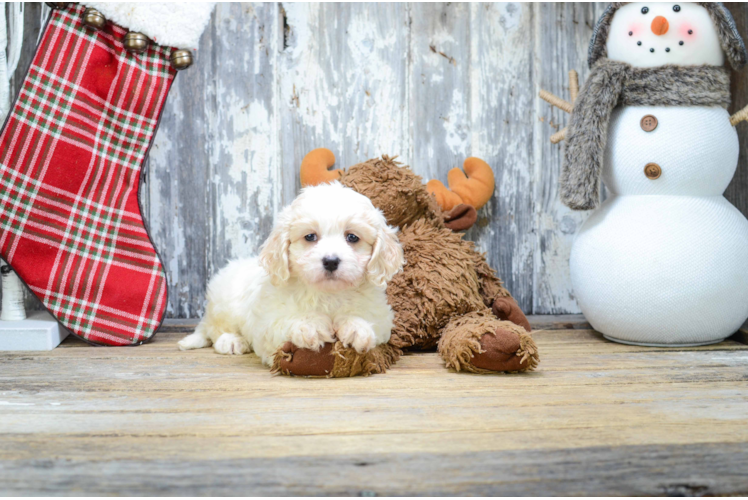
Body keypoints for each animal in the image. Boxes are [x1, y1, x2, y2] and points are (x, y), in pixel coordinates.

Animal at [178, 182, 404, 366]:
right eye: (310, 236)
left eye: (352, 237)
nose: (331, 261)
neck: (328, 294)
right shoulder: (266, 324)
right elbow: (284, 322)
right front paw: (309, 326)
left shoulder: (382, 317)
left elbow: (366, 320)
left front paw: (356, 327)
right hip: (224, 304)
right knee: (215, 330)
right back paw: (231, 341)